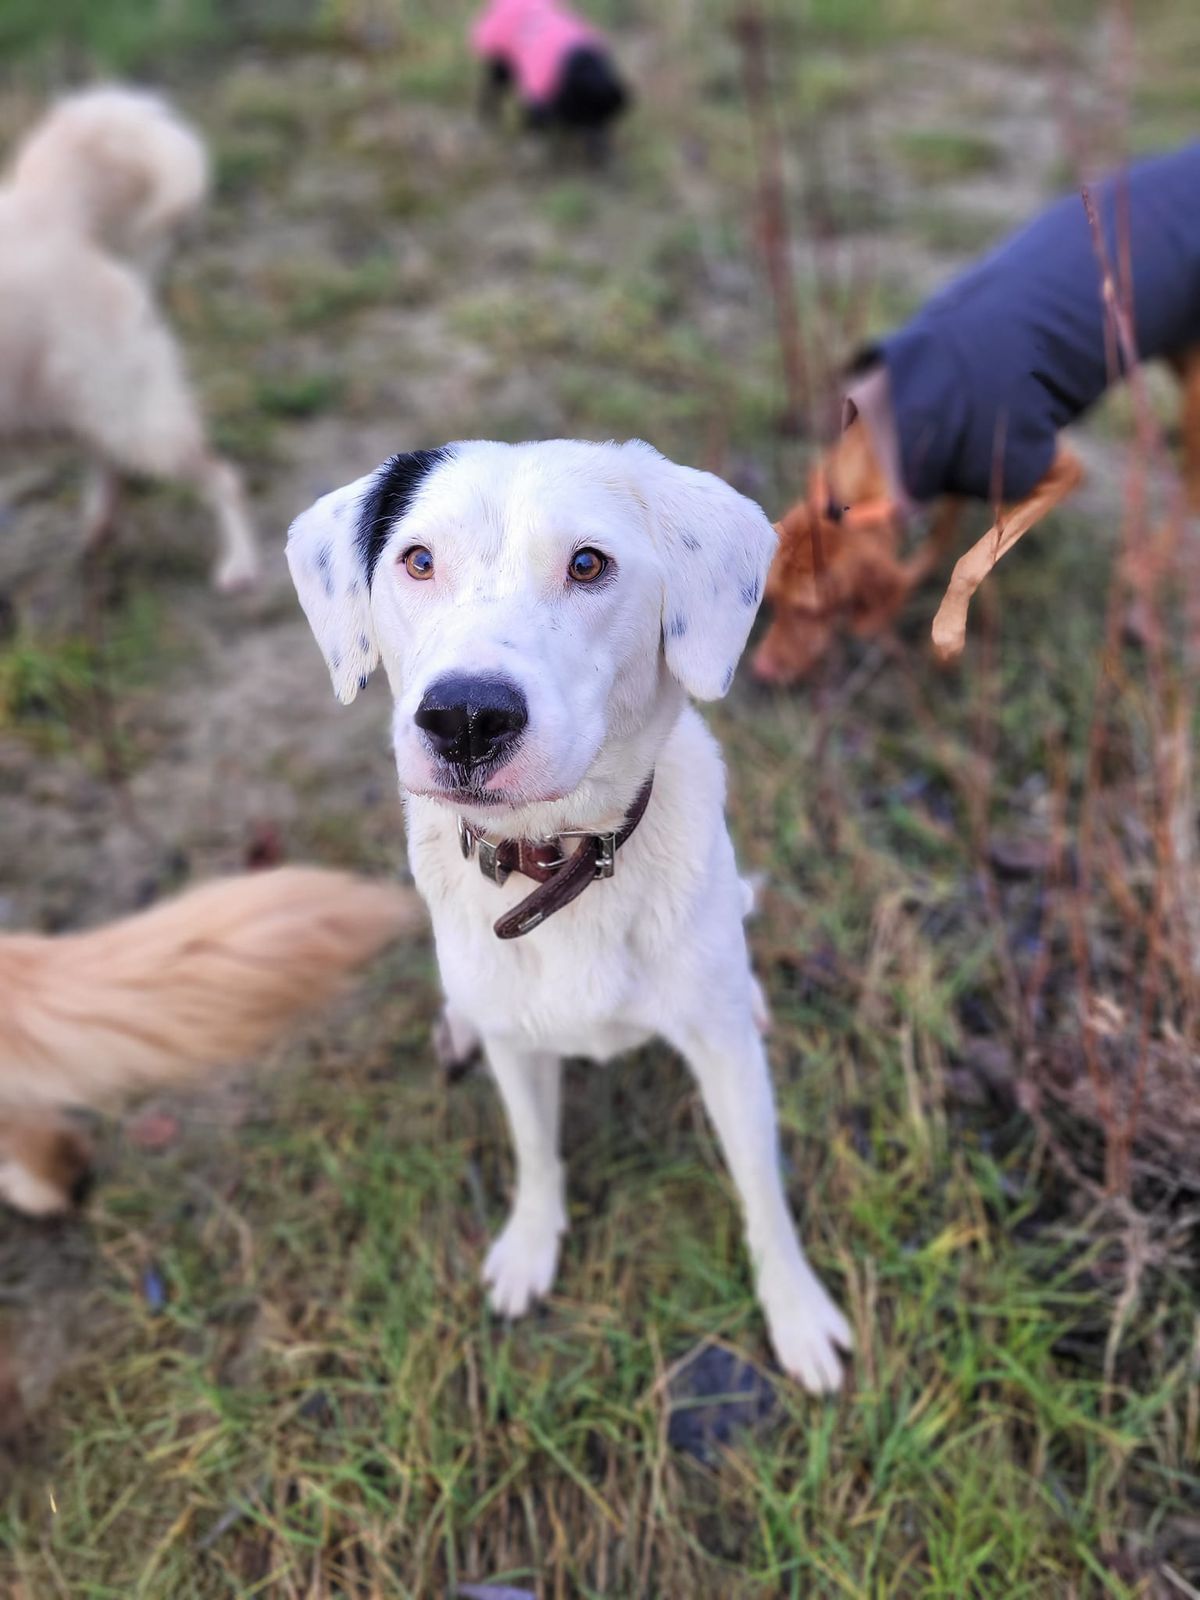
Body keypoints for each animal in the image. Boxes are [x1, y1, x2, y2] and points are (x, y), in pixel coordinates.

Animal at [0, 87, 259, 592]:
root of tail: (46, 204)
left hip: (132, 416)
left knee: (223, 476)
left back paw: (239, 564)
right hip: (72, 412)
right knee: (106, 462)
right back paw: (99, 529)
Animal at [289, 438, 857, 1388]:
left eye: (589, 564)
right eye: (418, 561)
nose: (465, 717)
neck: (561, 863)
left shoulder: (726, 1060)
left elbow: (761, 1188)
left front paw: (796, 1309)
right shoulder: (519, 1049)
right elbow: (534, 1150)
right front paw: (529, 1245)